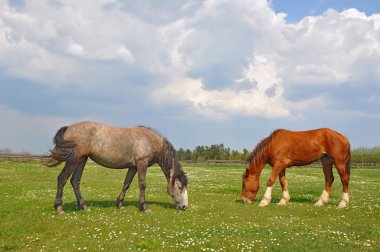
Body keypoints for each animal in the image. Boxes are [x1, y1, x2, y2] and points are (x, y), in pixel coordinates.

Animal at [46, 121, 189, 214]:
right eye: (179, 187)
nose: (184, 207)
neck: (150, 140)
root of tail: (69, 128)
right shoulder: (142, 164)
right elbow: (142, 185)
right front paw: (144, 207)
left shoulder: (133, 167)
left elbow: (126, 184)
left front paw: (120, 204)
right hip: (73, 160)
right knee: (62, 179)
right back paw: (59, 208)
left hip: (82, 159)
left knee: (75, 181)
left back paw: (84, 206)